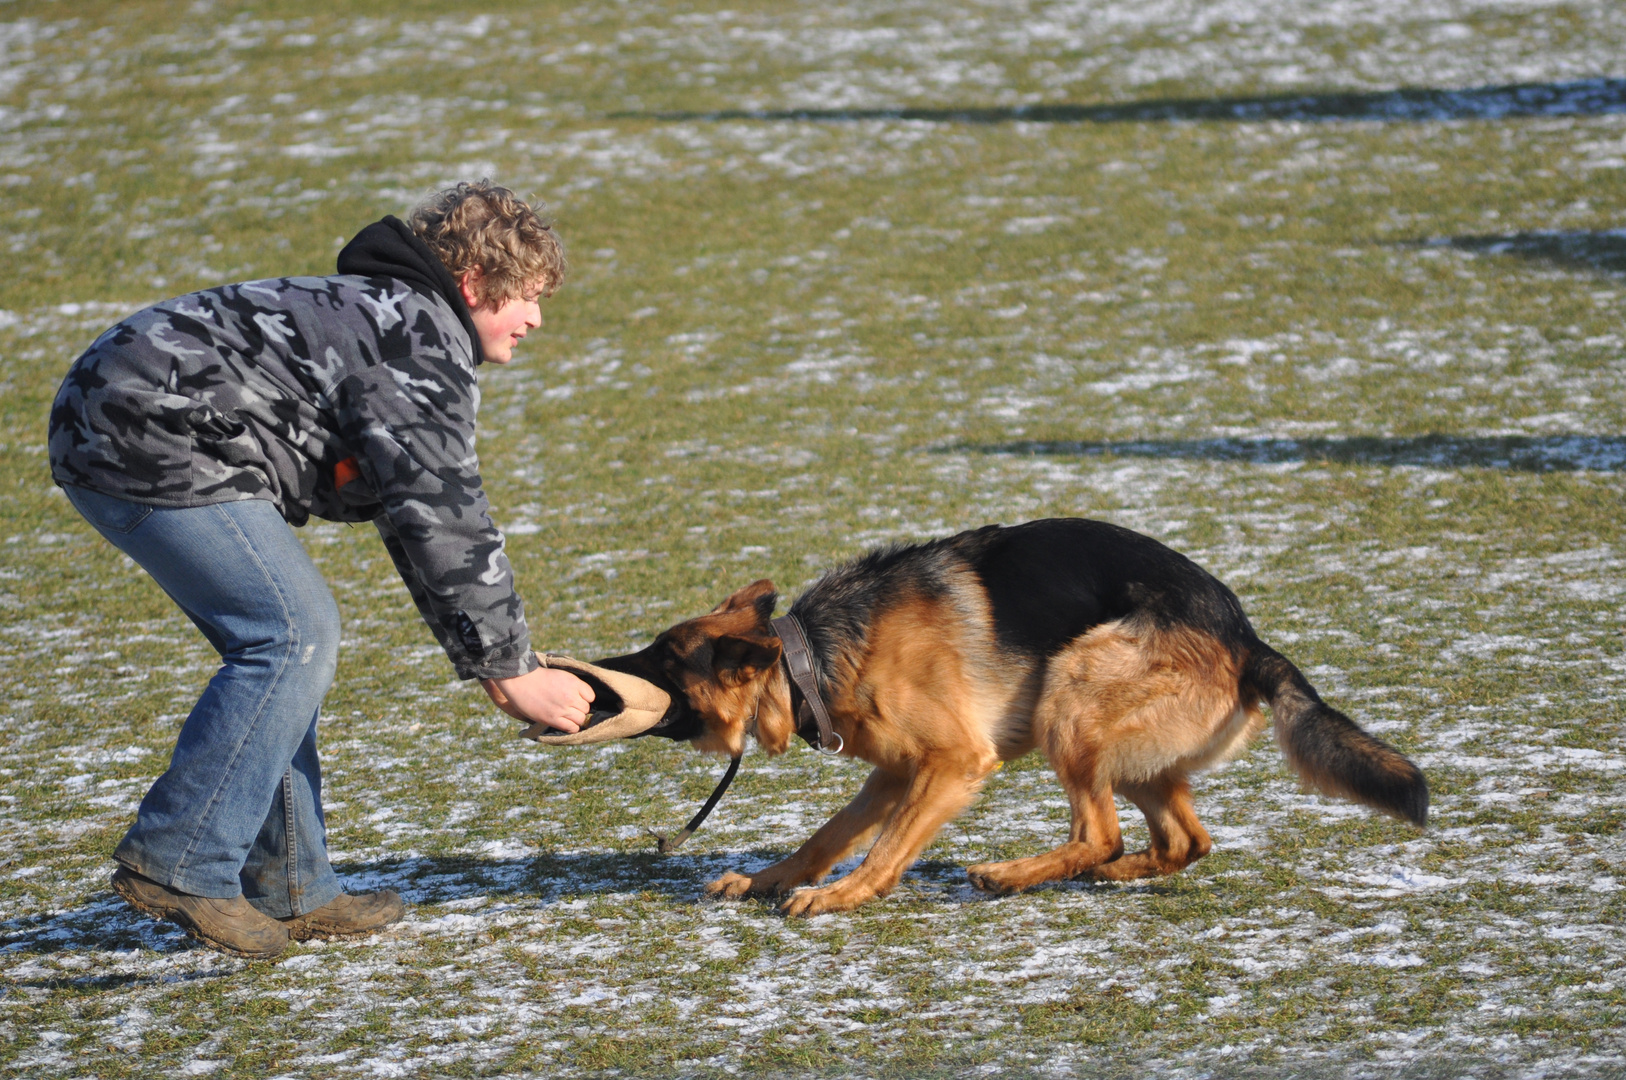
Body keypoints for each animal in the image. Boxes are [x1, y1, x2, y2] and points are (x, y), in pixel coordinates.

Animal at [601, 520, 1424, 917]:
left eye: (661, 661)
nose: (595, 668)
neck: (811, 656)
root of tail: (1248, 639)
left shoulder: (950, 765)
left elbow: (882, 850)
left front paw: (840, 896)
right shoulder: (894, 774)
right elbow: (826, 837)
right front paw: (768, 881)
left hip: (1072, 693)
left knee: (1100, 831)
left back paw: (1011, 875)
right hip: (1125, 744)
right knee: (1182, 841)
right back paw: (1107, 874)